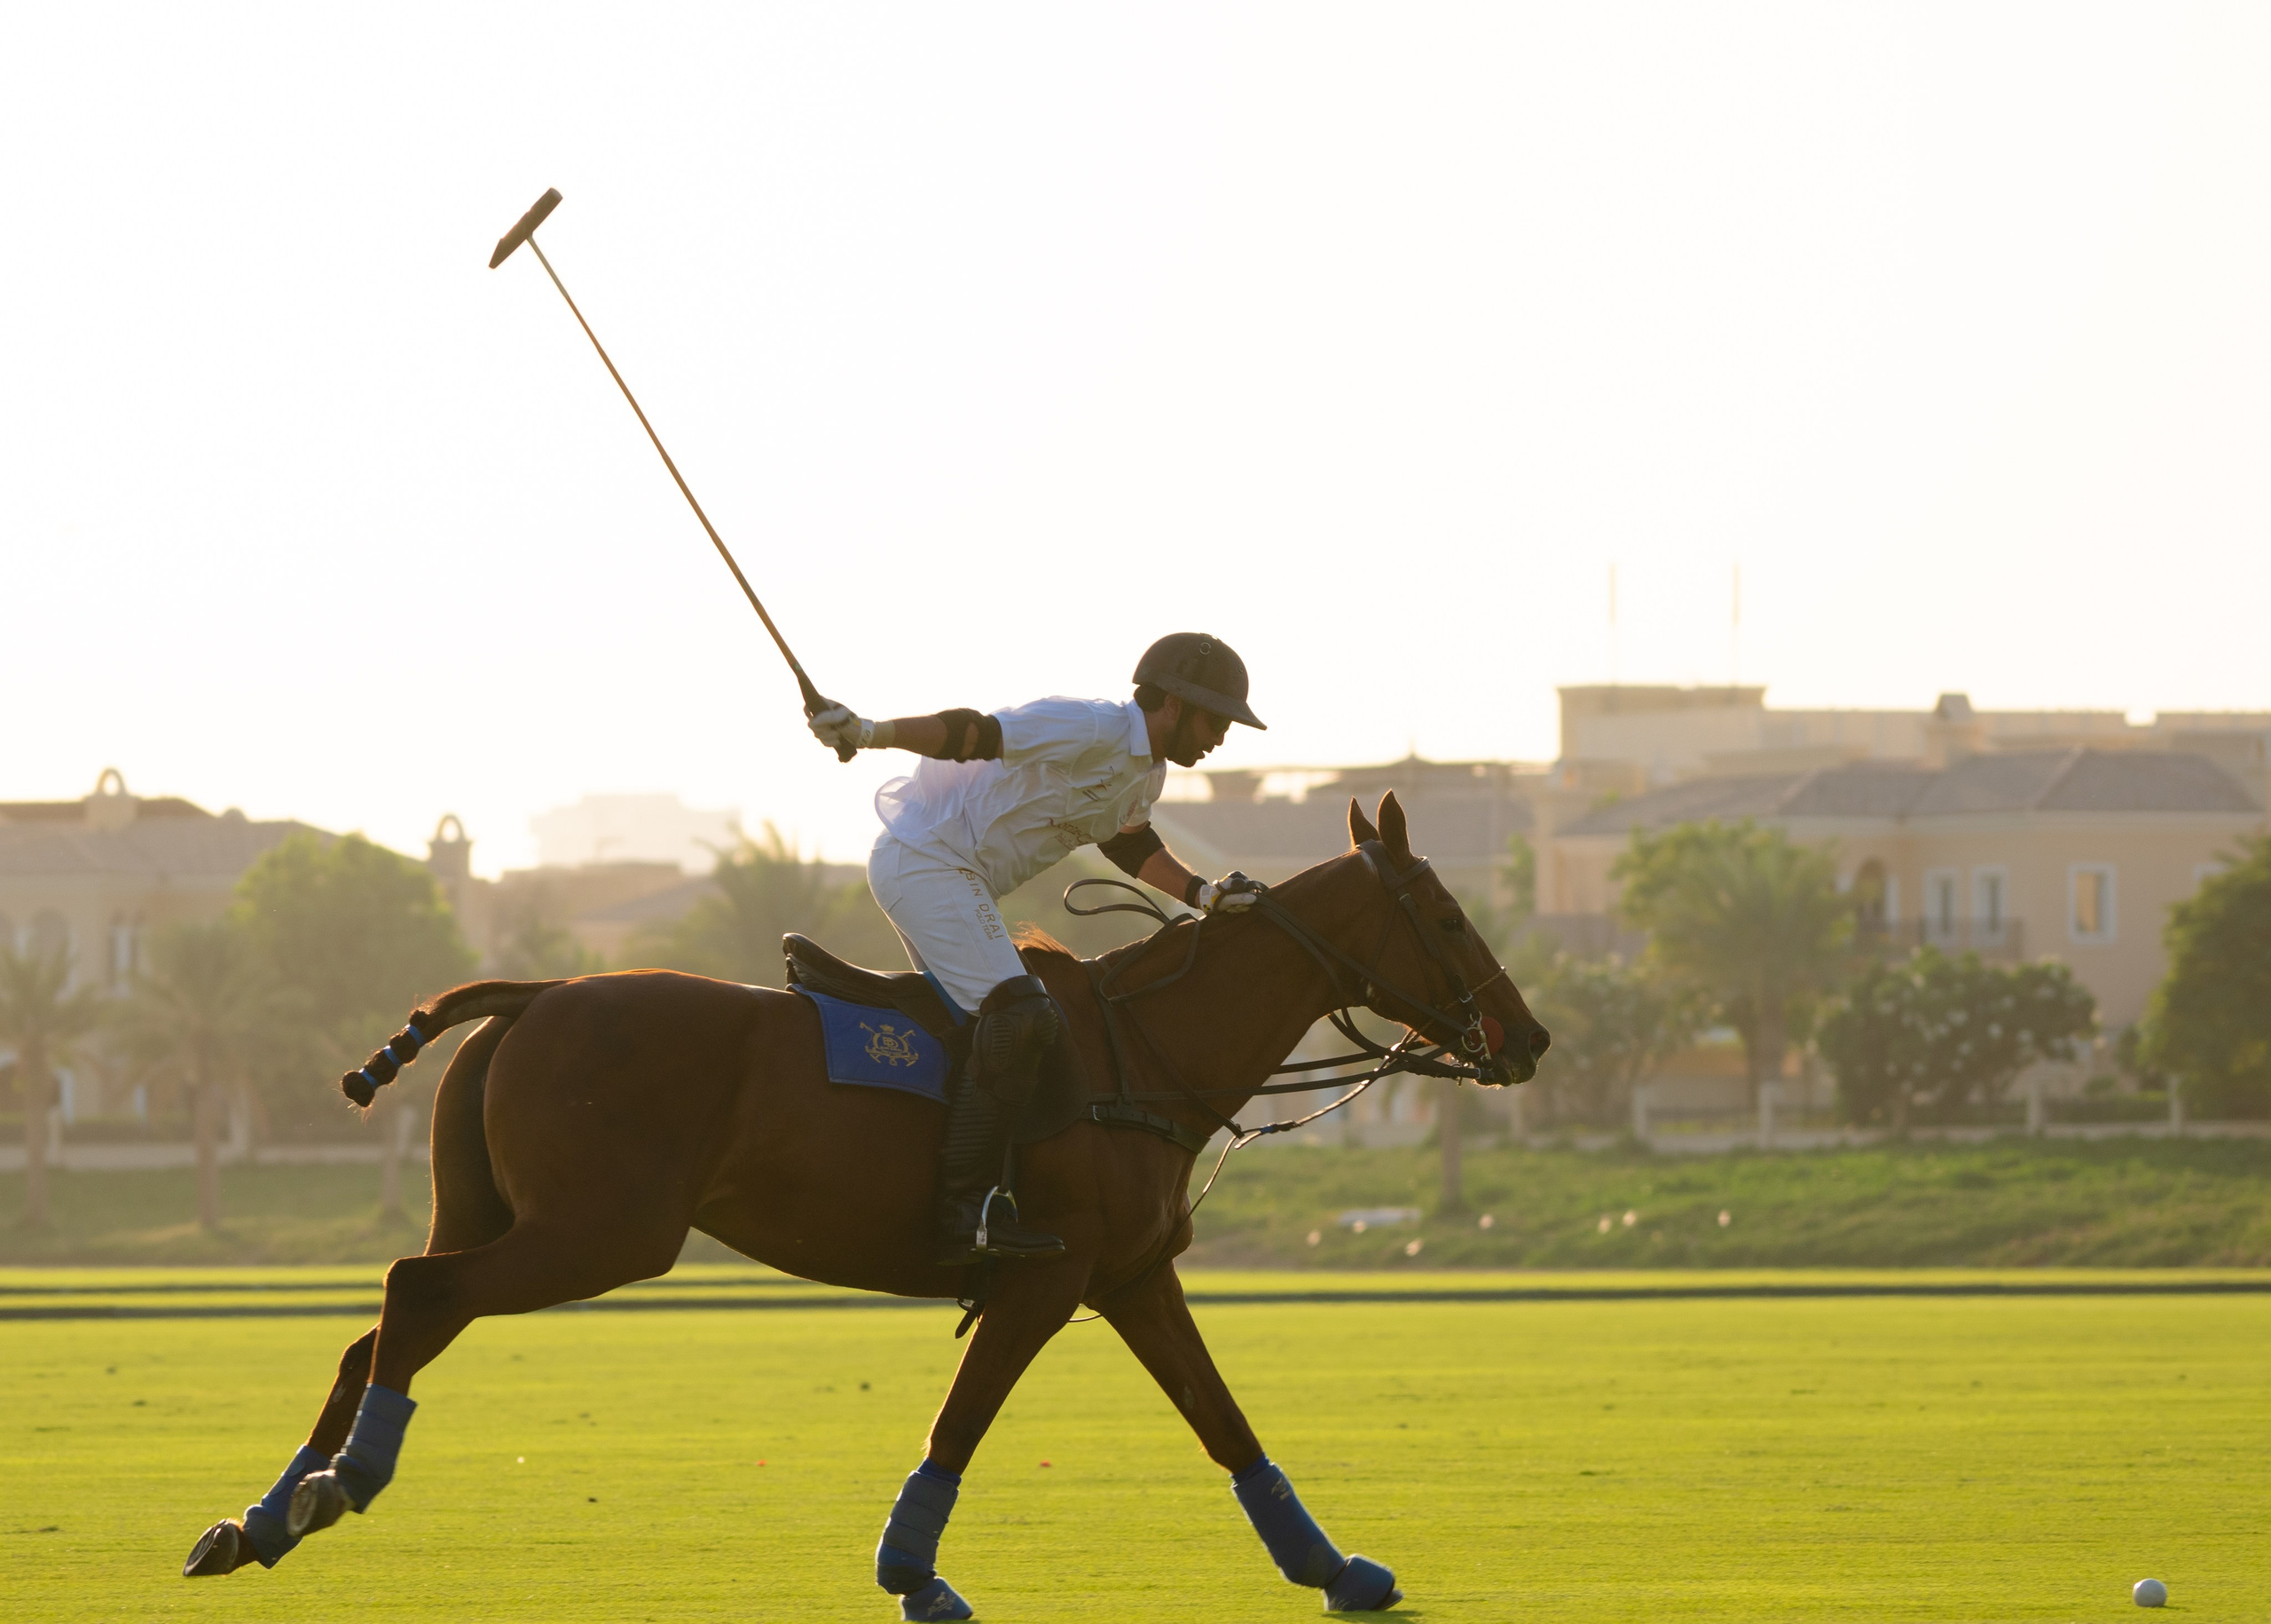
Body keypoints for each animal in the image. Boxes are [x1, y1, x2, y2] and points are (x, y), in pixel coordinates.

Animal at [181, 792, 1548, 1616]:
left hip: (503, 1214)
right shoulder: (1047, 1275)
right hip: (601, 1232)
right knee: (415, 1296)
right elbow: (965, 1418)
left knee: (382, 1323)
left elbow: (1225, 1420)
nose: (1528, 1037)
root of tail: (535, 991)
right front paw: (912, 1572)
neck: (1144, 1049)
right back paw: (340, 1482)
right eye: (1445, 912)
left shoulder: (1129, 1276)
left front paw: (1337, 1566)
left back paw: (263, 1516)